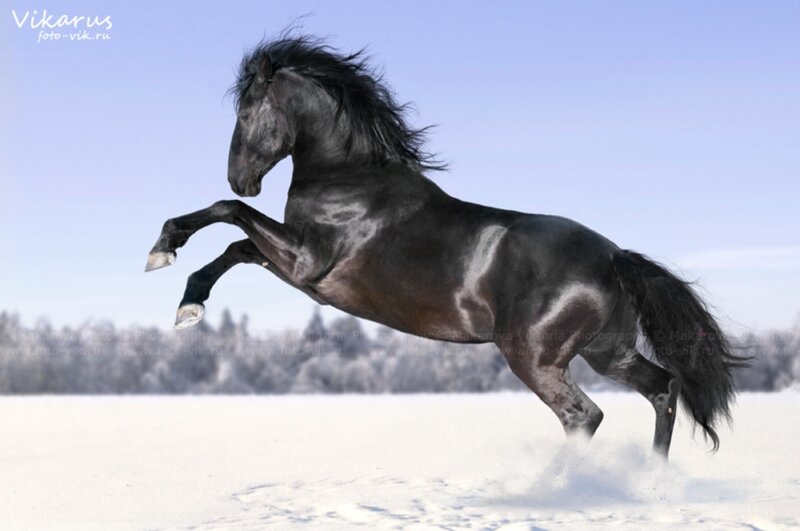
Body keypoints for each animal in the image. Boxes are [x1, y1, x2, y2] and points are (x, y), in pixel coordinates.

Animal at [145, 34, 747, 457]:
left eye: (246, 111)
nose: (240, 178)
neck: (353, 177)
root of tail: (615, 257)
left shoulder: (307, 263)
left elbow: (230, 216)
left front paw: (164, 248)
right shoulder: (299, 268)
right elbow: (236, 247)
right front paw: (188, 304)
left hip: (536, 357)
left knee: (584, 417)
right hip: (606, 351)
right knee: (663, 389)